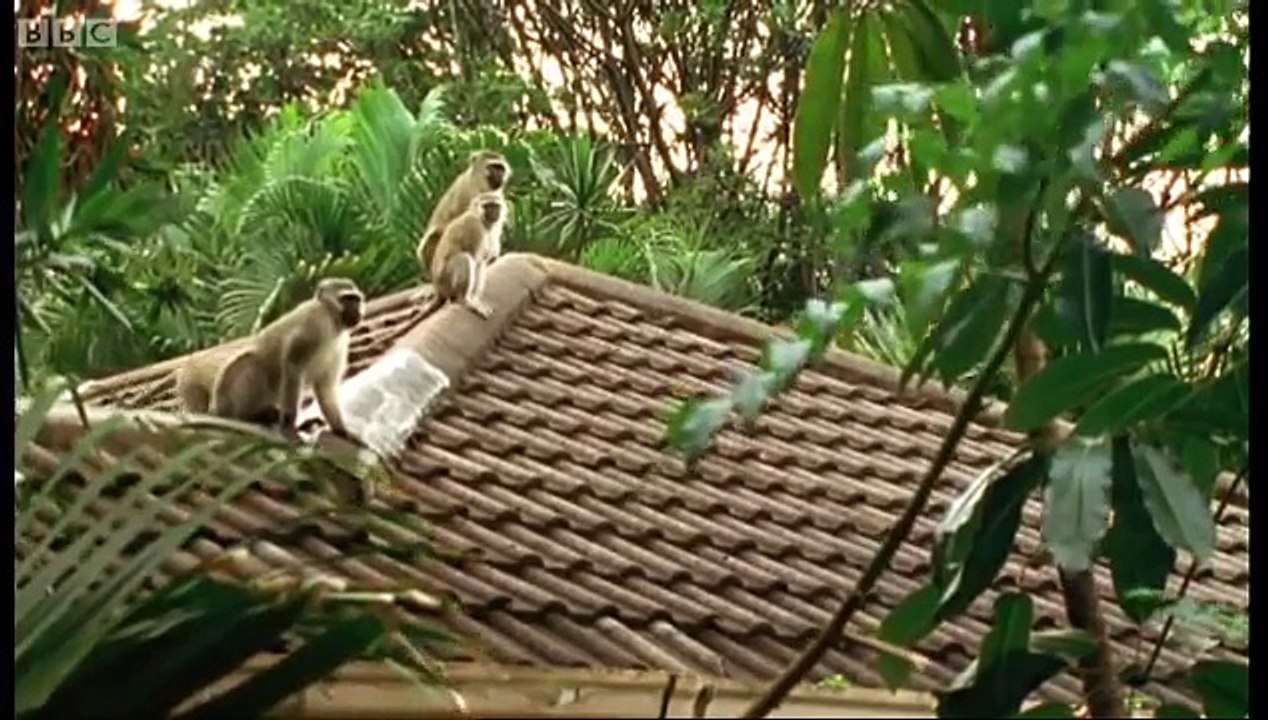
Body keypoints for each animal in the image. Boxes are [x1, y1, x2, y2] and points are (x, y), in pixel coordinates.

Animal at [178, 278, 365, 439]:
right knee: (250, 362)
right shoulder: (314, 323)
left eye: (356, 299)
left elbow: (325, 387)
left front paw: (341, 430)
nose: (357, 311)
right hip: (226, 398)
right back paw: (249, 416)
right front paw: (290, 424)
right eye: (347, 299)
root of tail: (216, 410)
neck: (331, 320)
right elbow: (293, 366)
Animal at [416, 191, 505, 319]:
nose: (493, 212)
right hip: (446, 281)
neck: (480, 219)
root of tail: (438, 289)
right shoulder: (474, 226)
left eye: (495, 206)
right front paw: (473, 301)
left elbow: (482, 262)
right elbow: (475, 259)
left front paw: (476, 299)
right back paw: (464, 299)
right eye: (487, 206)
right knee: (465, 258)